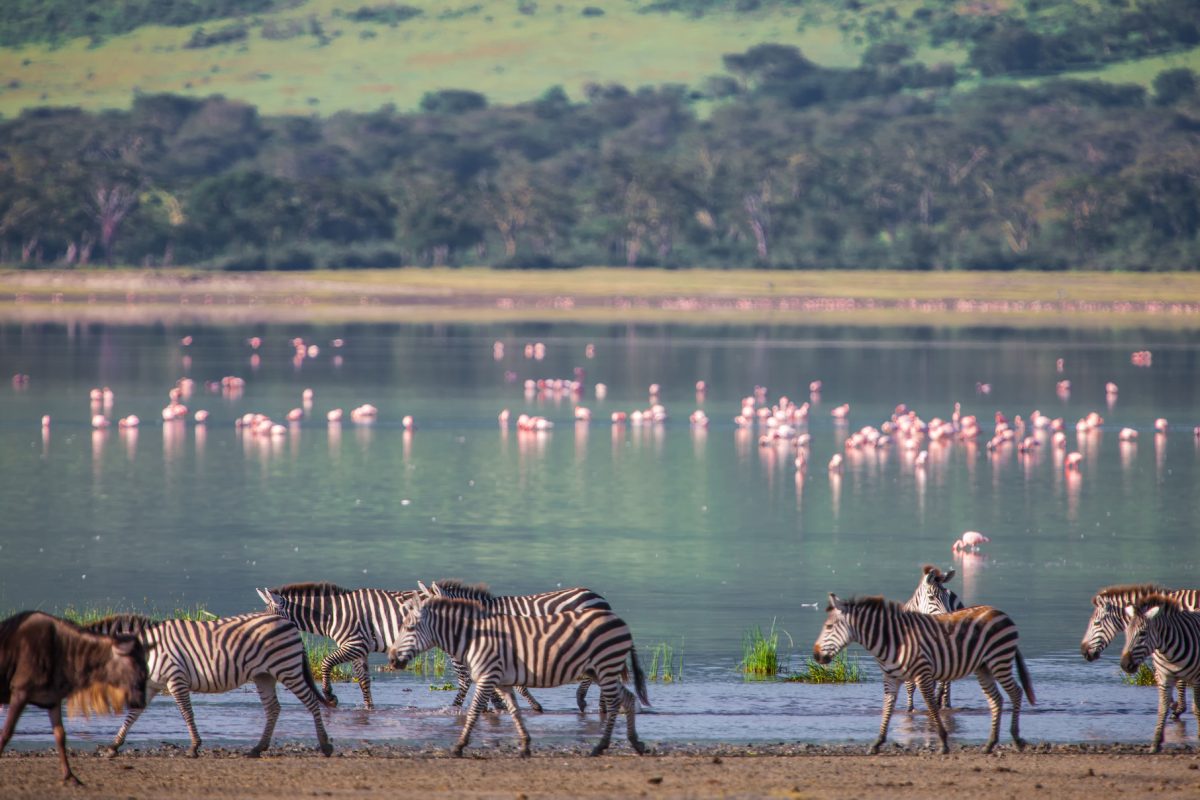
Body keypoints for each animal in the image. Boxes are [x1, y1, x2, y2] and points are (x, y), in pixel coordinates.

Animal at [83, 613, 332, 758]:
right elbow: (133, 714)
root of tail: (288, 622)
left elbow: (187, 712)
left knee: (311, 702)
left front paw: (194, 747)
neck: (146, 650)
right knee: (273, 708)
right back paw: (257, 748)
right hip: (264, 675)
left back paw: (325, 746)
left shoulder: (175, 678)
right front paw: (114, 745)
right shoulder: (152, 684)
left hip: (286, 668)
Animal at [386, 594, 649, 758]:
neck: (474, 636)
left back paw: (601, 746)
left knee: (615, 703)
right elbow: (514, 712)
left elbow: (474, 711)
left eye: (409, 628)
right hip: (601, 671)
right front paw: (524, 745)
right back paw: (635, 743)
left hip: (606, 666)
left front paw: (459, 746)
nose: (391, 659)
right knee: (628, 699)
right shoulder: (502, 682)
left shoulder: (487, 676)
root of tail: (620, 621)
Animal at [813, 593, 1034, 754]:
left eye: (829, 627)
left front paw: (943, 742)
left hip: (999, 660)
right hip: (984, 667)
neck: (893, 640)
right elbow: (887, 708)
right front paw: (876, 743)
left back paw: (1016, 739)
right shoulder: (891, 678)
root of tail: (1000, 612)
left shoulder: (922, 673)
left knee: (1016, 692)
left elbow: (931, 705)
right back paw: (990, 744)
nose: (815, 655)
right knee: (996, 699)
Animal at [902, 564, 965, 712]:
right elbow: (910, 685)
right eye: (931, 597)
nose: (951, 621)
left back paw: (945, 704)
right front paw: (910, 709)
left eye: (947, 598)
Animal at [1119, 593, 1200, 752]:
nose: (1125, 665)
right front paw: (1156, 743)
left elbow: (1197, 710)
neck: (1168, 652)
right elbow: (1162, 709)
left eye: (1143, 633)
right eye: (1127, 633)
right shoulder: (1164, 679)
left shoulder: (1198, 680)